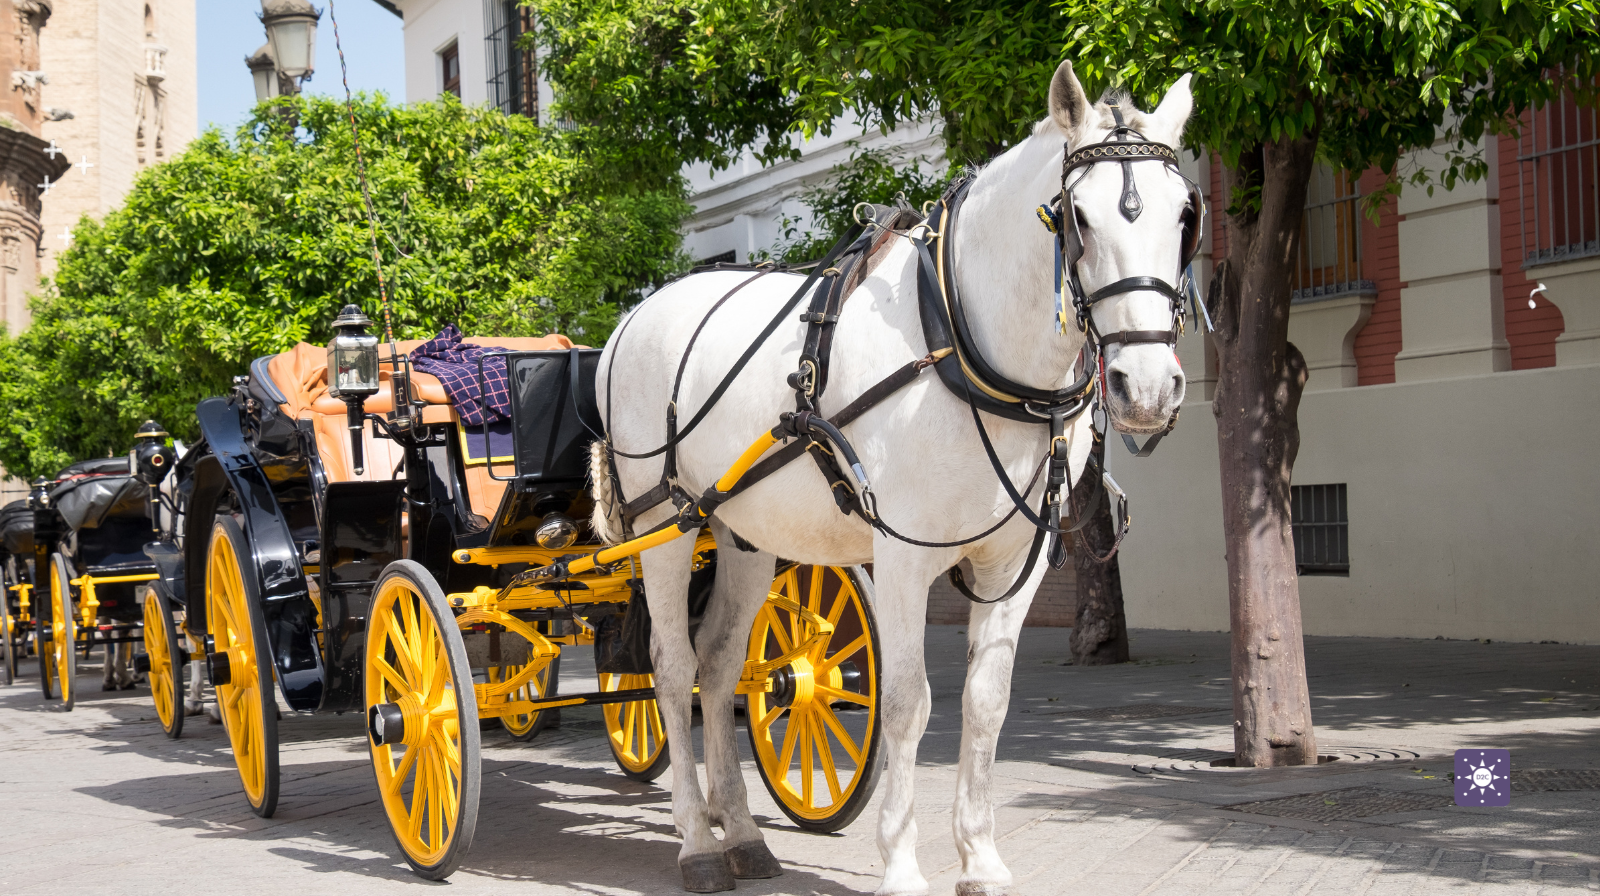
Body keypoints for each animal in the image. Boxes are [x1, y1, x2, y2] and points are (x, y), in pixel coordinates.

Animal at [592, 60, 1196, 895]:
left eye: (1184, 217)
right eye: (1076, 217)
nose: (1147, 388)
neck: (960, 340)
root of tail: (632, 316)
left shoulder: (1015, 560)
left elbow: (986, 701)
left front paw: (981, 858)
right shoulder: (905, 556)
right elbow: (910, 702)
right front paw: (904, 864)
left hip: (744, 534)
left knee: (716, 667)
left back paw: (741, 830)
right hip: (663, 522)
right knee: (672, 667)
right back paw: (697, 842)